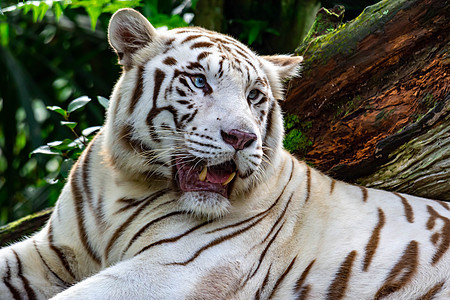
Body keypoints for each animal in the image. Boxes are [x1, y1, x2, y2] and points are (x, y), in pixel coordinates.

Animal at [0, 8, 450, 298]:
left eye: (254, 96)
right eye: (199, 81)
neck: (127, 182)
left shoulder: (174, 269)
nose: (241, 137)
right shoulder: (51, 252)